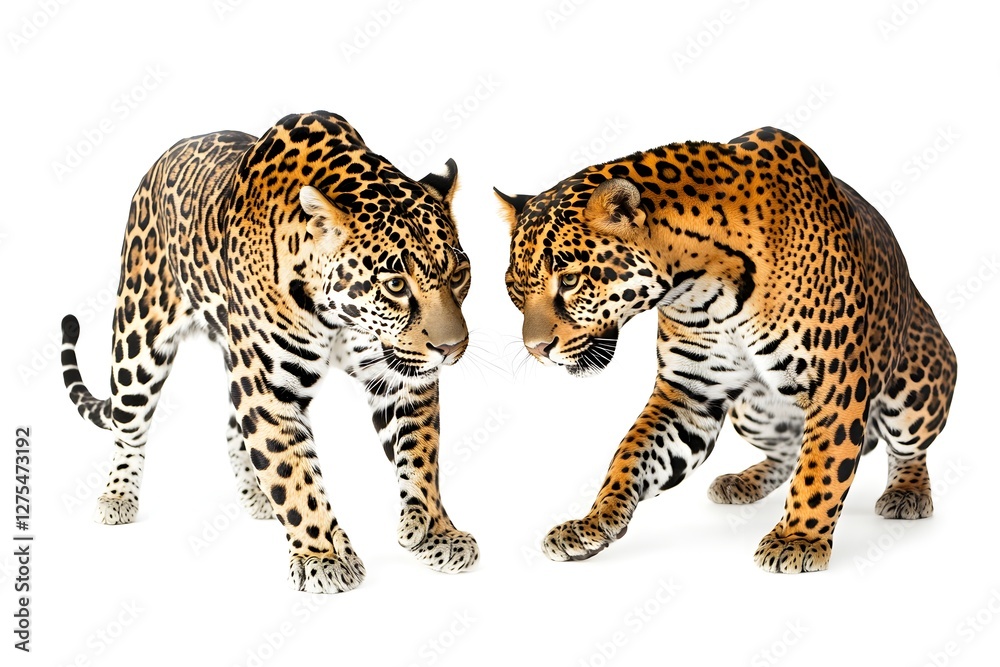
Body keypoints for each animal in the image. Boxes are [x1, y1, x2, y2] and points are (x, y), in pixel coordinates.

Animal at [60, 110, 478, 593]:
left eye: (459, 273)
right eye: (395, 285)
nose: (451, 348)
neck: (335, 313)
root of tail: (163, 159)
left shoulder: (398, 377)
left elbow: (421, 457)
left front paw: (435, 530)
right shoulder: (268, 393)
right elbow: (292, 475)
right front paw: (321, 557)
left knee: (230, 428)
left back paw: (256, 497)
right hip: (139, 335)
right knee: (128, 426)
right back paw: (117, 496)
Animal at [496, 126, 957, 573]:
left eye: (570, 281)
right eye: (515, 290)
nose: (537, 349)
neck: (702, 284)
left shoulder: (836, 384)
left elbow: (822, 468)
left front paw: (798, 539)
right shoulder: (690, 390)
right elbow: (631, 455)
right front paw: (593, 522)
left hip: (914, 392)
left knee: (907, 450)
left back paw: (907, 493)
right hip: (752, 410)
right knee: (788, 450)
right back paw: (742, 481)